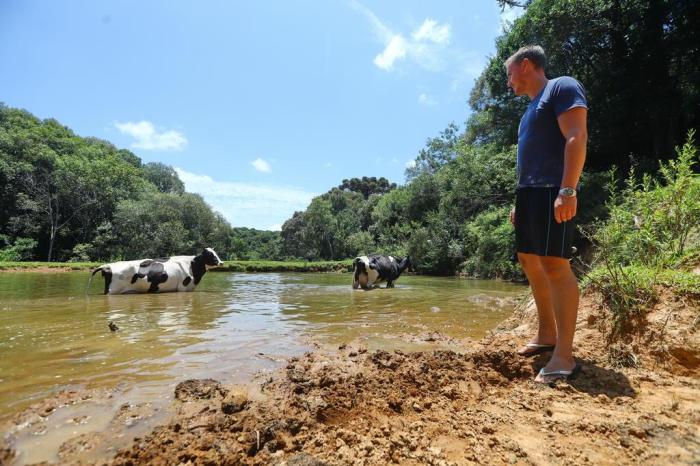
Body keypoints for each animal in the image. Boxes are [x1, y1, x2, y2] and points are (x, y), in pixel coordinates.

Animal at [87, 248, 223, 294]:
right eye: (210, 255)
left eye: (216, 253)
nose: (221, 262)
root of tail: (107, 266)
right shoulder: (183, 288)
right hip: (113, 291)